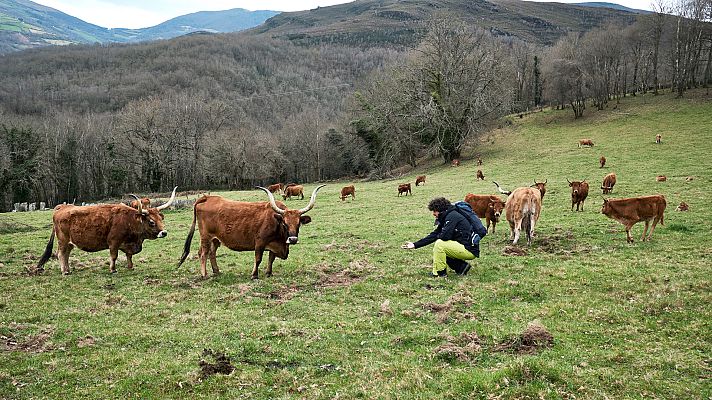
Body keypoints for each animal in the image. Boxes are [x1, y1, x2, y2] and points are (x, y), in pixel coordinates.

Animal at [36, 187, 177, 275]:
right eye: (151, 222)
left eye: (161, 218)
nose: (164, 232)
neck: (129, 220)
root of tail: (62, 207)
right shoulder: (114, 242)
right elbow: (114, 256)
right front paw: (113, 269)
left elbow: (129, 255)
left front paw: (130, 267)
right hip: (63, 241)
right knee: (61, 254)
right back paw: (64, 271)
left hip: (70, 242)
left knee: (66, 254)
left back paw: (68, 269)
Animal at [178, 185, 326, 279]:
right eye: (285, 223)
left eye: (298, 223)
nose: (293, 239)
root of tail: (207, 198)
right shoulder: (259, 242)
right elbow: (258, 259)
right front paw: (254, 275)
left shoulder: (274, 244)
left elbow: (271, 259)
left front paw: (269, 273)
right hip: (206, 237)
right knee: (203, 253)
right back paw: (204, 275)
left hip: (215, 239)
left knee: (211, 253)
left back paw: (217, 272)